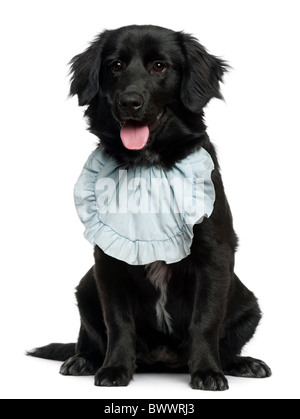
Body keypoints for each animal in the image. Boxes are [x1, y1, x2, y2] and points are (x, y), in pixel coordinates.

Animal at [28, 24, 272, 392]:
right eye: (115, 65)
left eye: (160, 66)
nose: (129, 101)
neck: (148, 164)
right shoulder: (108, 262)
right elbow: (118, 321)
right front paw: (115, 367)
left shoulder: (215, 257)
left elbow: (205, 321)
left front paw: (207, 371)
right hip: (85, 287)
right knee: (90, 338)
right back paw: (83, 360)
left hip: (247, 303)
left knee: (227, 345)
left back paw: (243, 364)